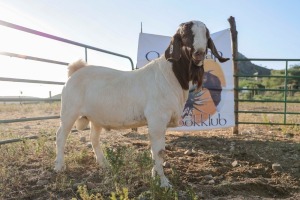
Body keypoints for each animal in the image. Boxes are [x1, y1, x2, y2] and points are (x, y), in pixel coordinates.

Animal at [54, 19, 230, 187]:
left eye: (206, 34)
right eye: (185, 34)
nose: (199, 53)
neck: (171, 76)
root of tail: (75, 71)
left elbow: (154, 151)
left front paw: (155, 176)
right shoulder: (157, 120)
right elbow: (159, 152)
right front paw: (163, 183)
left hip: (95, 118)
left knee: (94, 139)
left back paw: (104, 164)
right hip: (69, 111)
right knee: (61, 135)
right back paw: (59, 166)